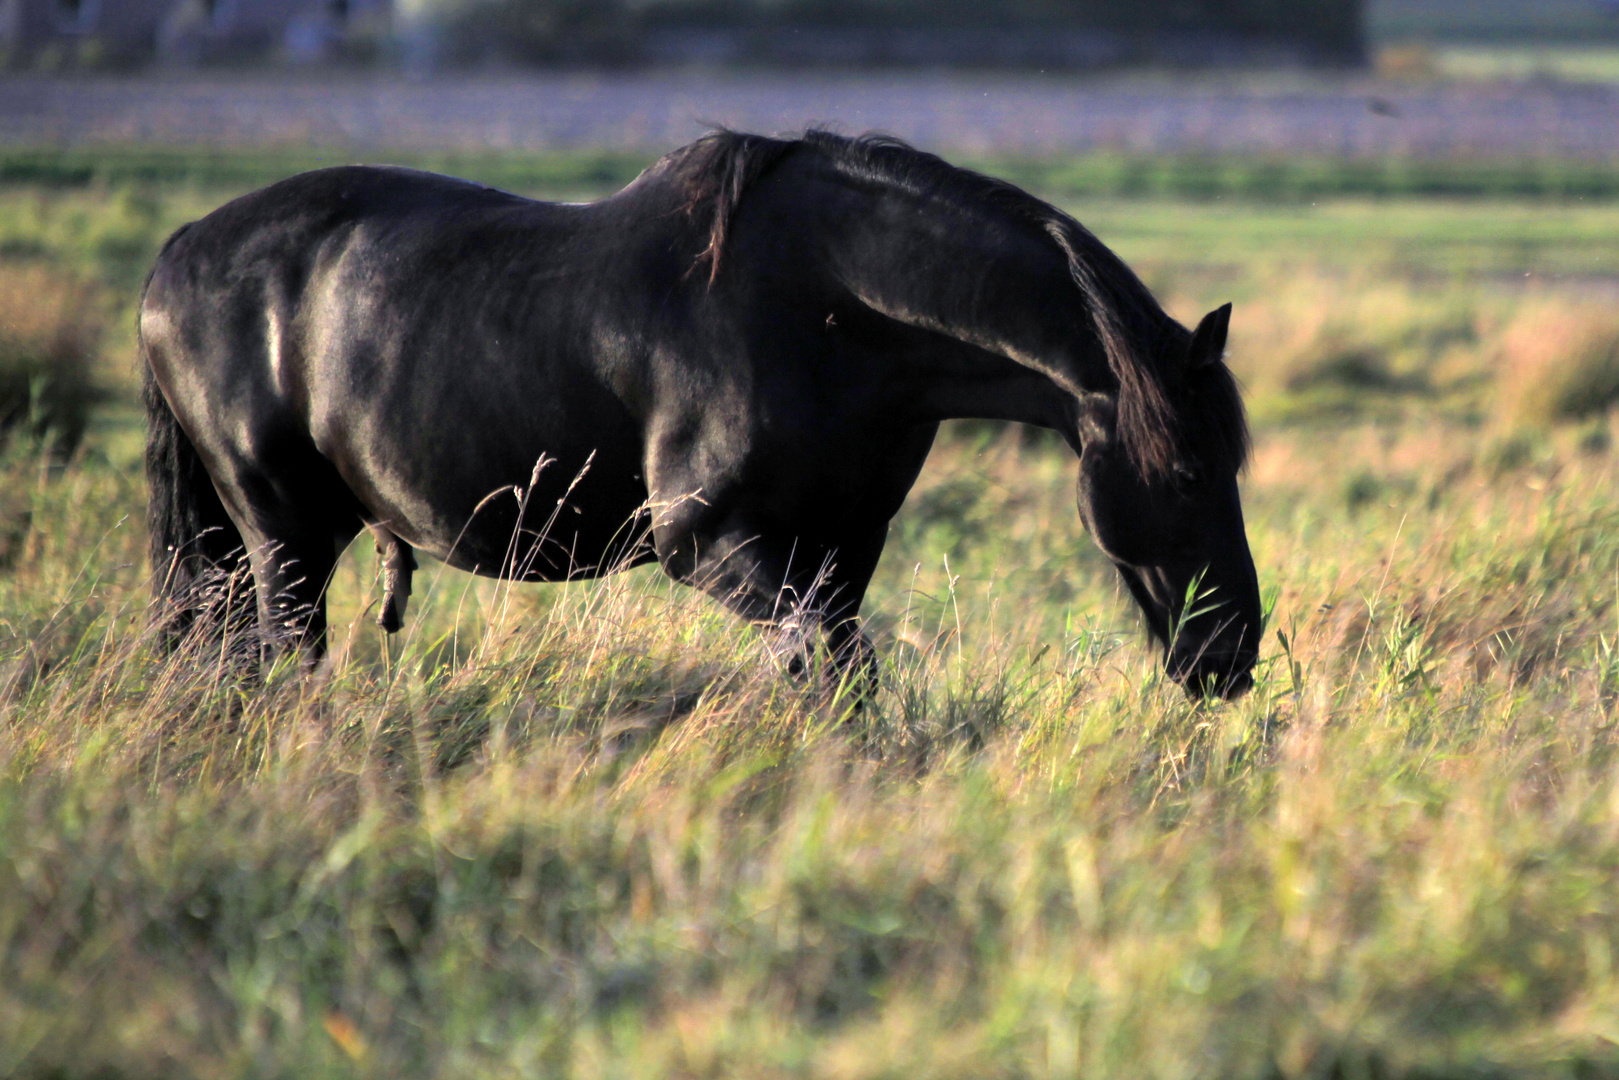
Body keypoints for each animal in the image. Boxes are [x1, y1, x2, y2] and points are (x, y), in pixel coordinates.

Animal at [139, 128, 1262, 702]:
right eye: (1189, 472)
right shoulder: (706, 542)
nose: (1230, 655)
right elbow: (832, 668)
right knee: (279, 656)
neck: (829, 307)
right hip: (280, 532)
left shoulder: (841, 545)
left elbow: (827, 668)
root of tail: (180, 249)